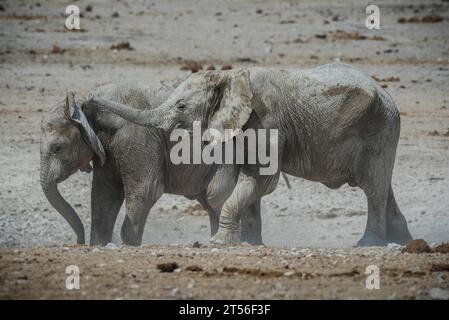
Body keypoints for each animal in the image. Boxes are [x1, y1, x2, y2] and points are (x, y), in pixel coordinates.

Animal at [40, 82, 264, 245]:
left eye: (58, 148)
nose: (78, 242)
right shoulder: (106, 152)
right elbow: (105, 195)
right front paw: (99, 244)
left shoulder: (135, 138)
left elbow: (146, 191)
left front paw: (129, 245)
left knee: (217, 196)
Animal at [90, 63, 412, 248]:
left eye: (181, 106)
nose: (89, 99)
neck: (229, 77)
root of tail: (387, 94)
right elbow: (245, 181)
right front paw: (249, 244)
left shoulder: (265, 122)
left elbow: (262, 181)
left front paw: (218, 242)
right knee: (383, 187)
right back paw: (403, 242)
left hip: (381, 127)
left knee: (373, 188)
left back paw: (368, 245)